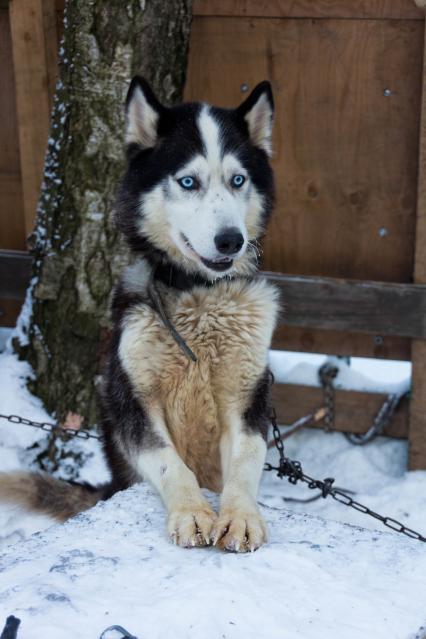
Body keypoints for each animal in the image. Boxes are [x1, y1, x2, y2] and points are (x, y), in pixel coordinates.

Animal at [0, 79, 278, 552]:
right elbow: (169, 460)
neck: (196, 292)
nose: (231, 240)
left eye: (238, 179)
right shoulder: (132, 399)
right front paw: (191, 512)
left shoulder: (246, 398)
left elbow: (245, 461)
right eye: (188, 181)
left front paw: (240, 517)